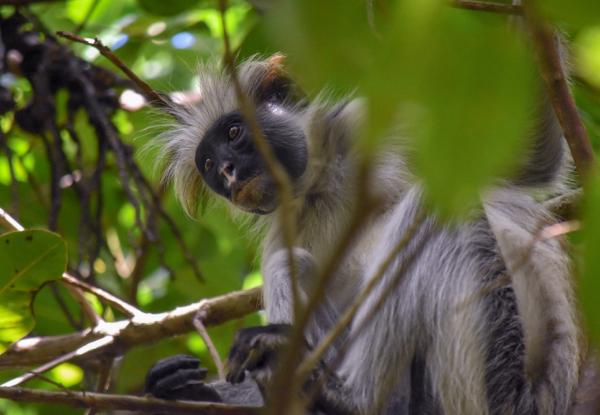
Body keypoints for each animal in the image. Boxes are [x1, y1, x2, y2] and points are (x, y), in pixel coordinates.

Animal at [144, 44, 580, 415]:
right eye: (208, 164)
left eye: (233, 133)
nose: (227, 171)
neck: (321, 184)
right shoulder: (287, 225)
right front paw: (188, 389)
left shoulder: (375, 126)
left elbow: (536, 158)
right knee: (291, 264)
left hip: (500, 386)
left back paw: (350, 397)